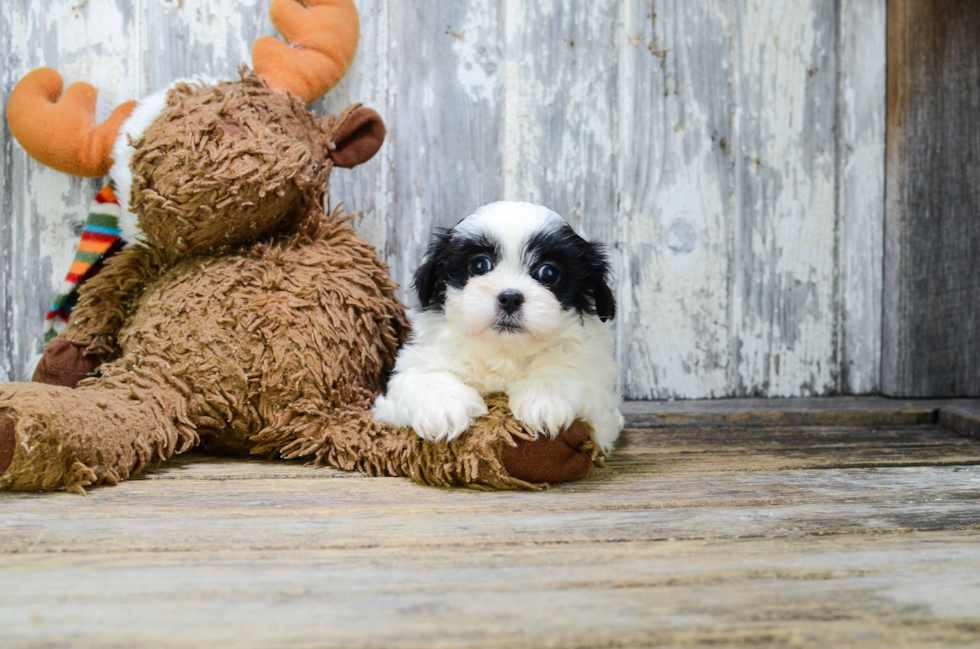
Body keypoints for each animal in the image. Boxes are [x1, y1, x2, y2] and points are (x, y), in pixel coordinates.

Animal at [372, 201, 624, 450]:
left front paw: (545, 399)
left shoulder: (601, 397)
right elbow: (423, 375)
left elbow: (567, 369)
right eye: (480, 265)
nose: (510, 298)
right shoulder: (418, 360)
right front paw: (445, 408)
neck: (504, 354)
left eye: (548, 272)